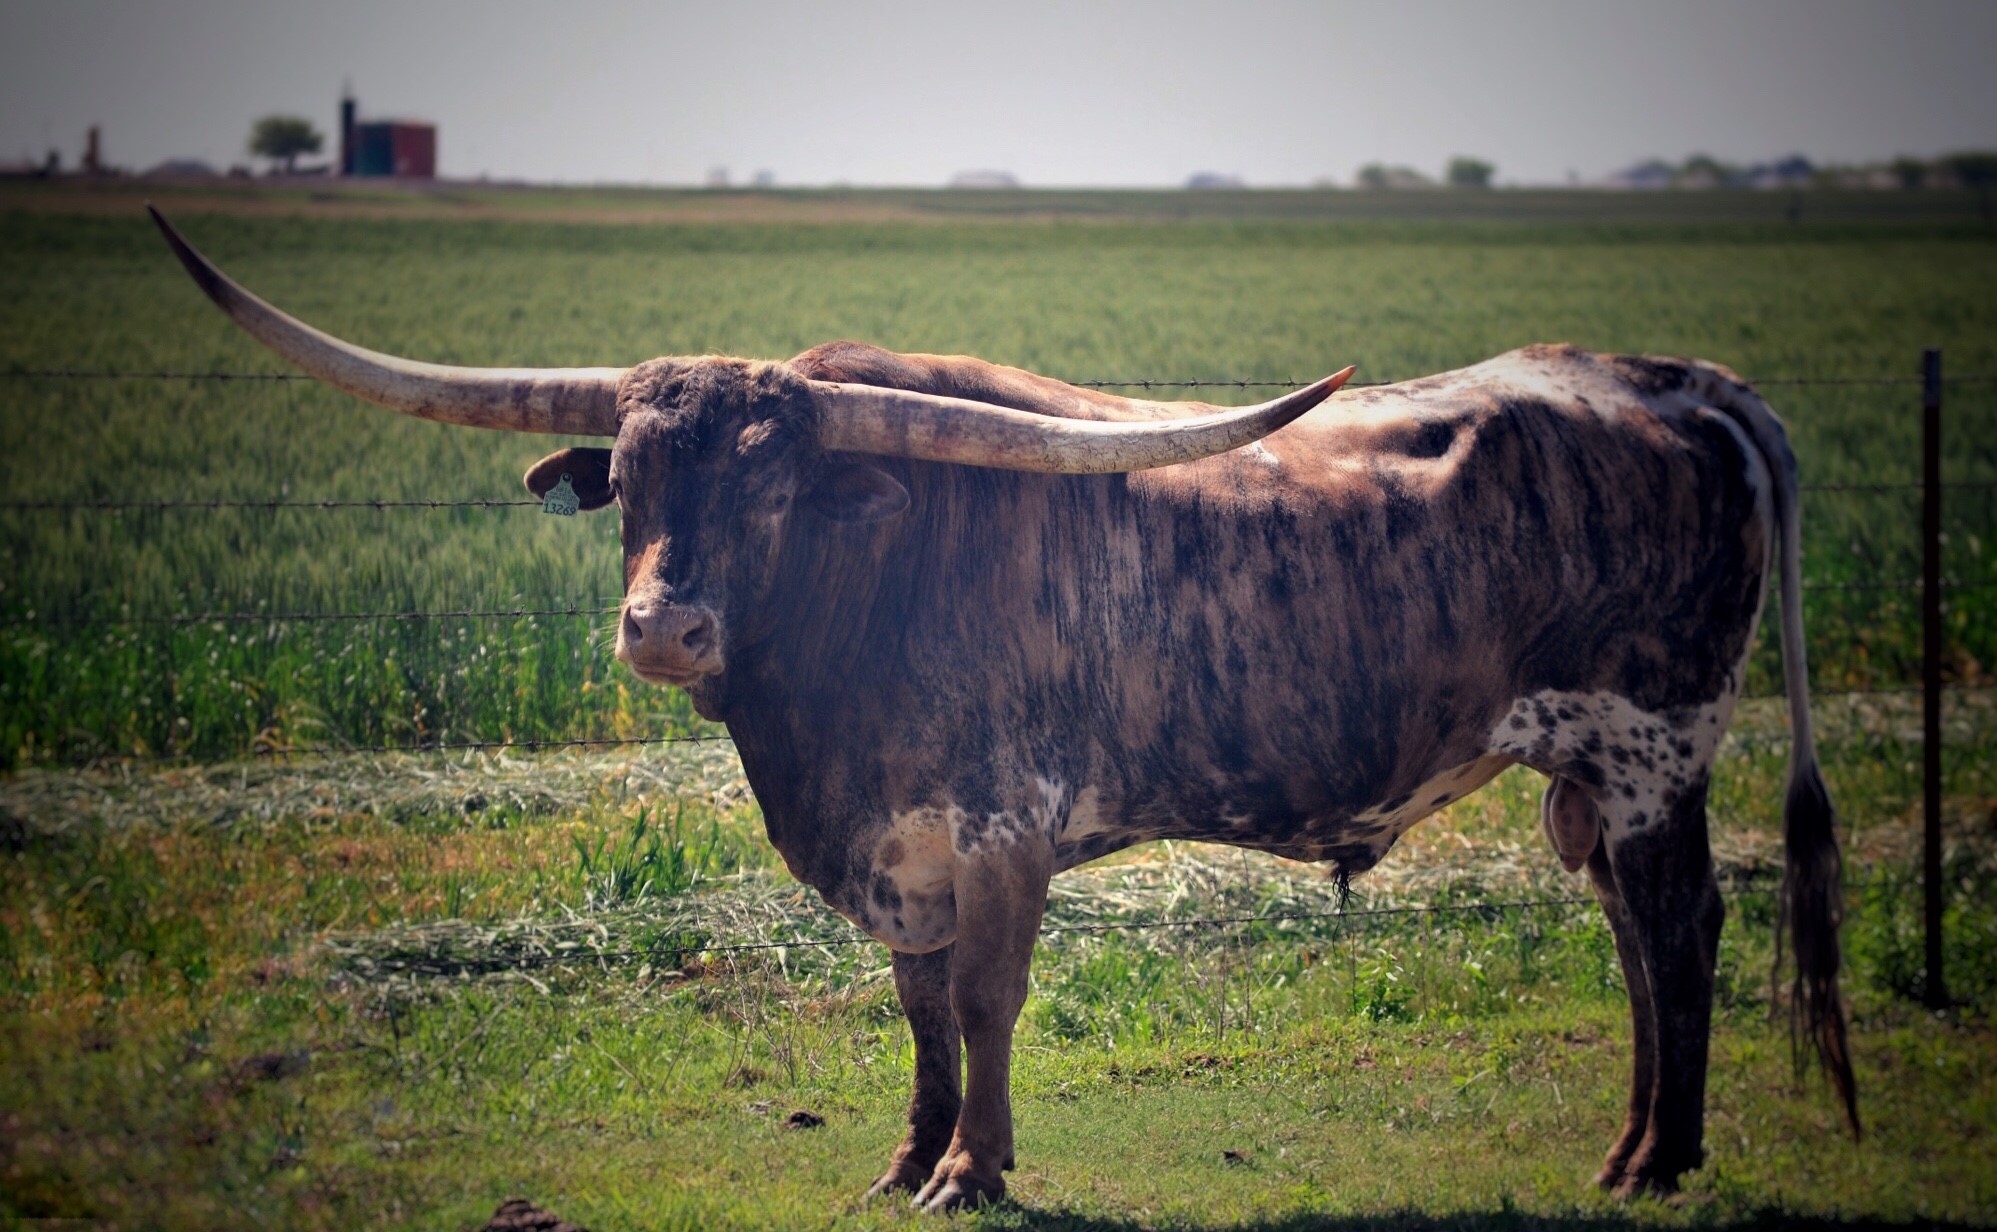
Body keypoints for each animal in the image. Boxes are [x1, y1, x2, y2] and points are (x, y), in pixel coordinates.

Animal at [151, 206, 1856, 1211]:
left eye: (778, 485)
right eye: (627, 477)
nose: (663, 625)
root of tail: (1664, 378)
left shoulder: (1000, 826)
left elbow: (982, 1000)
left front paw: (973, 1171)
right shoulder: (899, 849)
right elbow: (915, 1006)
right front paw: (909, 1158)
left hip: (1650, 750)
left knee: (1681, 926)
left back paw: (1659, 1160)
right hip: (1587, 775)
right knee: (1631, 934)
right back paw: (1630, 1145)